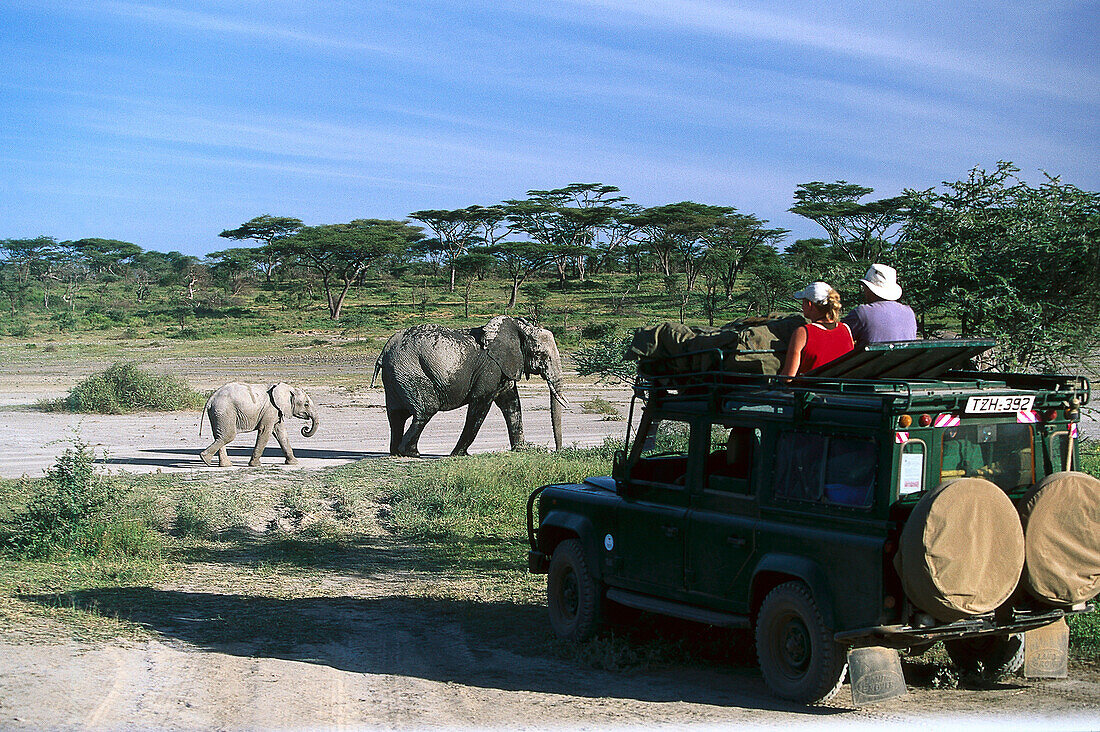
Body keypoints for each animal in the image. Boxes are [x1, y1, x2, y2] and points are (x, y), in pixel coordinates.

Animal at [376, 314, 567, 457]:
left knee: (397, 415)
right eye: (541, 355)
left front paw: (521, 450)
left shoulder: (503, 367)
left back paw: (396, 452)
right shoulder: (491, 367)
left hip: (395, 376)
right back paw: (411, 453)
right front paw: (459, 454)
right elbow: (481, 404)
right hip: (410, 370)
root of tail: (384, 352)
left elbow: (511, 404)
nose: (556, 451)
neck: (518, 328)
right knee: (425, 410)